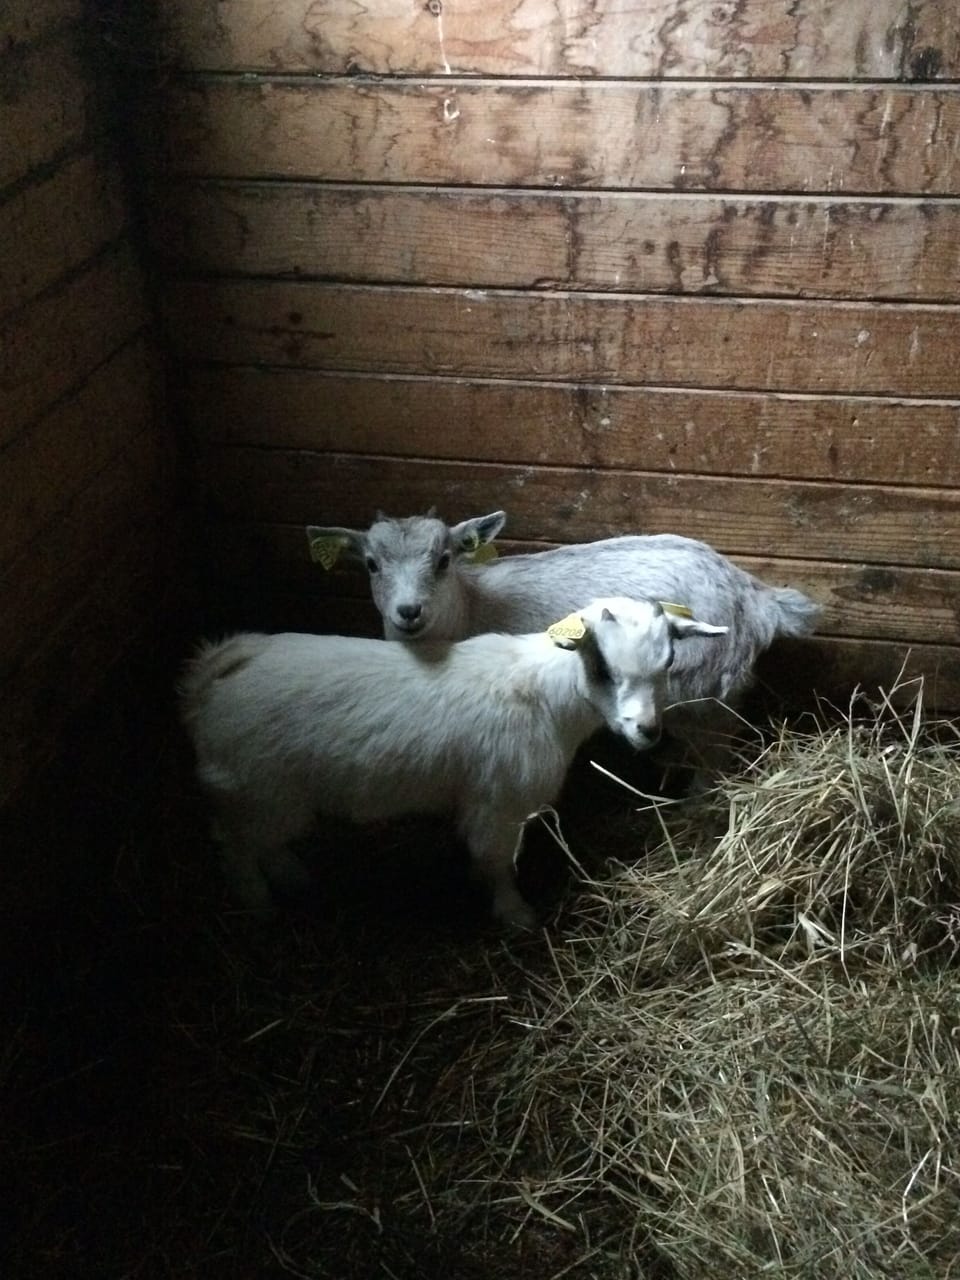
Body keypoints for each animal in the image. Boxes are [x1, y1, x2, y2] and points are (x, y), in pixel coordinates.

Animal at [180, 598, 727, 928]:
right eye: (604, 668)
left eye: (669, 662)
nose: (647, 731)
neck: (546, 693)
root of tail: (222, 669)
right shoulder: (497, 804)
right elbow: (495, 862)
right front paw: (515, 915)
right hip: (257, 788)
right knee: (234, 844)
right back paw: (258, 902)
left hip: (269, 795)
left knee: (261, 841)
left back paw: (295, 878)